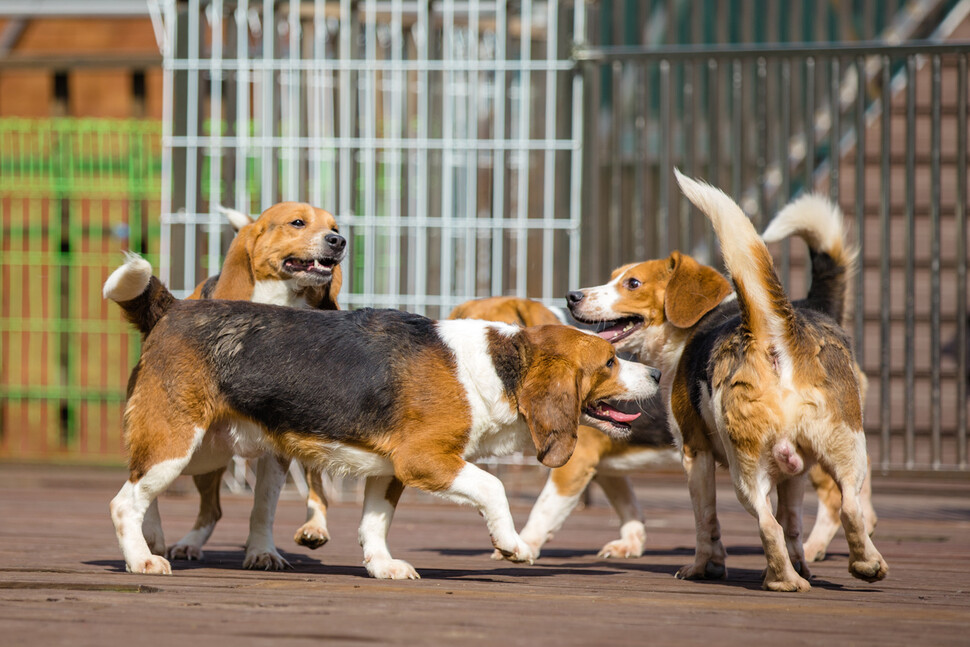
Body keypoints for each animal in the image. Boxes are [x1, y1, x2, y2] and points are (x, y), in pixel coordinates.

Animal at [102, 260, 656, 580]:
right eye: (609, 362)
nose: (653, 373)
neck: (500, 366)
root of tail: (175, 308)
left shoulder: (387, 471)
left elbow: (375, 522)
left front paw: (382, 565)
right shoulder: (424, 461)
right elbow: (493, 488)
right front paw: (513, 545)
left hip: (202, 450)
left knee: (142, 489)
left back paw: (152, 541)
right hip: (178, 442)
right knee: (124, 500)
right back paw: (141, 558)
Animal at [108, 202, 344, 572]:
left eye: (334, 227)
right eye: (297, 222)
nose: (338, 241)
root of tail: (173, 307)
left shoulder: (278, 453)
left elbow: (264, 507)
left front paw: (262, 551)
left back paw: (314, 527)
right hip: (186, 447)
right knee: (146, 492)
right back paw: (152, 547)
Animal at [564, 172, 888, 592]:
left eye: (632, 283)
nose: (572, 296)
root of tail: (773, 331)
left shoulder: (694, 453)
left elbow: (707, 523)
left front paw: (705, 567)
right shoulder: (795, 471)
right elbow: (792, 524)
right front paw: (801, 563)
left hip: (746, 467)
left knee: (768, 523)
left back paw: (783, 581)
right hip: (844, 447)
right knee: (848, 507)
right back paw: (860, 564)